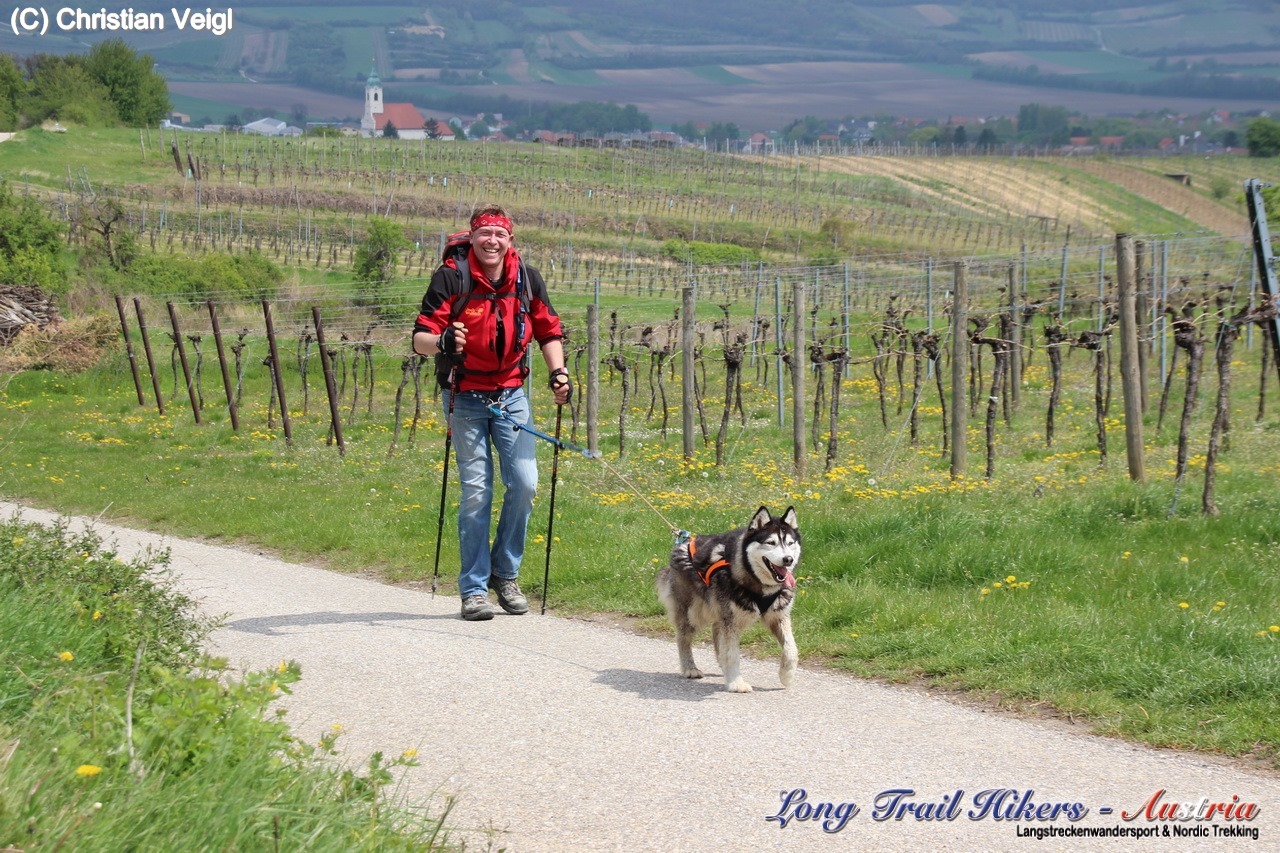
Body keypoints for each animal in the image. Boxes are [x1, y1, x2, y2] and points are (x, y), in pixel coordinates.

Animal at [656, 506, 800, 693]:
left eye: (790, 543)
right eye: (771, 543)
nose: (788, 559)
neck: (759, 584)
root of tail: (683, 542)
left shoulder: (778, 616)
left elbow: (791, 649)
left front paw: (787, 675)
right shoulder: (730, 619)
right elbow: (731, 653)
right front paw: (736, 682)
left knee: (716, 631)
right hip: (694, 612)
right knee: (683, 636)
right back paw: (689, 668)